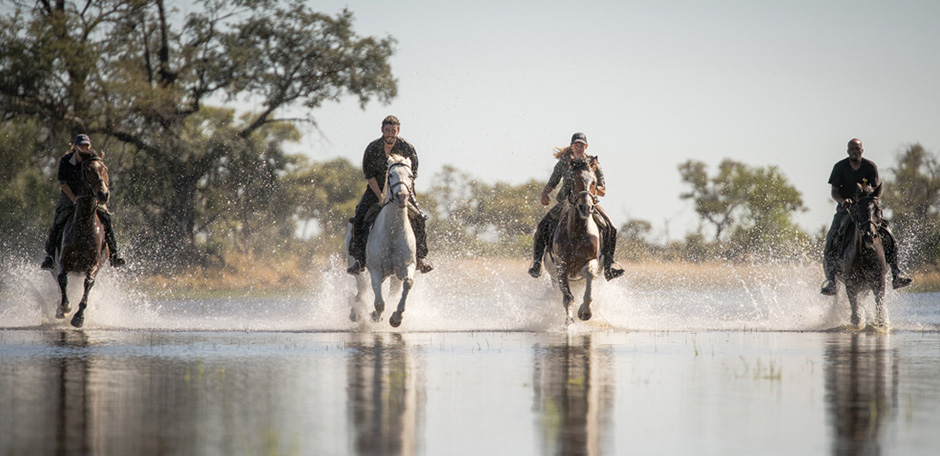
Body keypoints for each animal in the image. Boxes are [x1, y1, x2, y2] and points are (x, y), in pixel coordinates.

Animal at [53, 157, 111, 328]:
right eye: (88, 171)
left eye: (105, 169)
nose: (103, 194)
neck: (84, 224)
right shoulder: (63, 261)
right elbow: (62, 279)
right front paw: (64, 308)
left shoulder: (93, 264)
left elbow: (88, 284)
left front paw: (79, 317)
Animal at [346, 155, 416, 326]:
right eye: (390, 175)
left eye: (410, 175)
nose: (402, 197)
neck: (392, 233)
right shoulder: (376, 271)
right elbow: (378, 303)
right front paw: (375, 315)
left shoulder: (407, 265)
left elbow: (408, 283)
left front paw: (396, 317)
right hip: (355, 265)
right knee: (362, 289)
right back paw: (355, 313)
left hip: (393, 276)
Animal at [544, 159, 604, 322]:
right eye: (574, 180)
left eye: (594, 182)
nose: (586, 207)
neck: (577, 233)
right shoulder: (561, 267)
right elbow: (568, 298)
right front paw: (569, 323)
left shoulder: (591, 262)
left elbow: (590, 275)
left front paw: (585, 312)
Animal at [836, 183, 888, 330]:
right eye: (858, 209)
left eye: (878, 209)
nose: (869, 235)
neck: (865, 253)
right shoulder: (850, 284)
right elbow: (855, 313)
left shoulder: (879, 281)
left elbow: (879, 308)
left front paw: (880, 325)